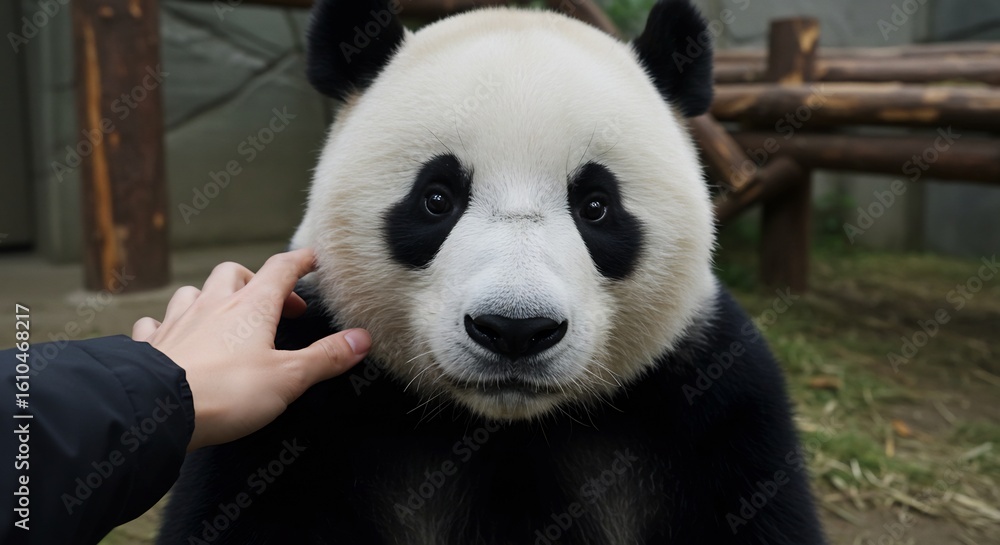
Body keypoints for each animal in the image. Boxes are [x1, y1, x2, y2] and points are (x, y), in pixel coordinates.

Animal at [159, 1, 826, 543]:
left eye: (595, 206)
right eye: (436, 198)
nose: (515, 330)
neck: (502, 427)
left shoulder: (711, 408)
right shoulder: (292, 398)